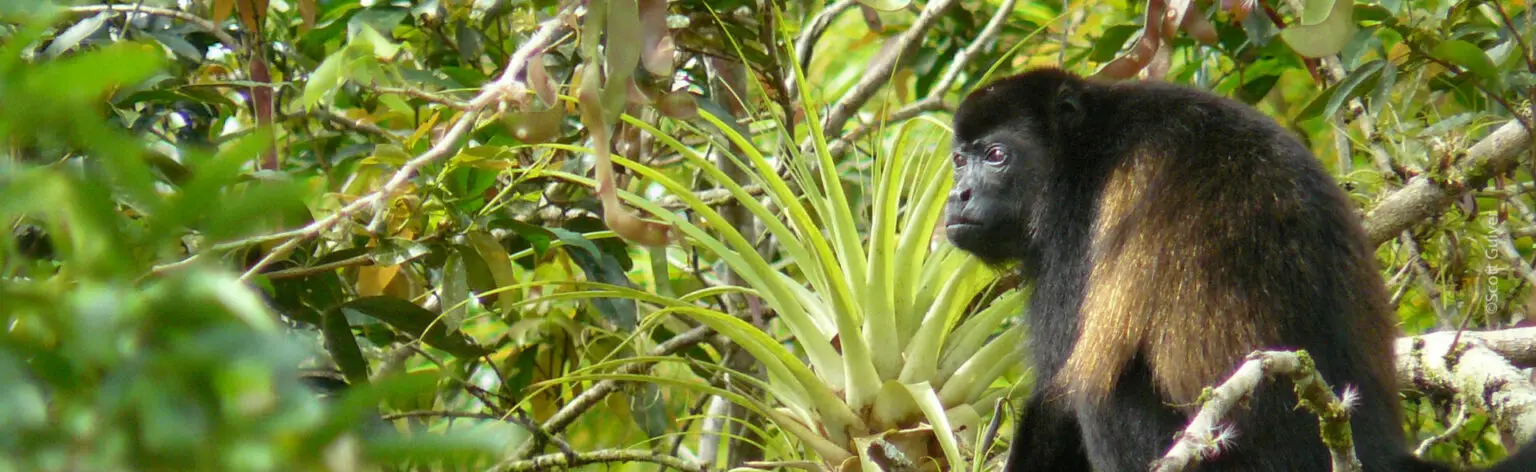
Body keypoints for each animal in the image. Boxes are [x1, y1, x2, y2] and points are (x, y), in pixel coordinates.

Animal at [944, 68, 1536, 472]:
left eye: (996, 155)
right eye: (958, 160)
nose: (956, 195)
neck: (1083, 146)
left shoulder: (1074, 225)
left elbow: (1062, 395)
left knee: (1102, 392)